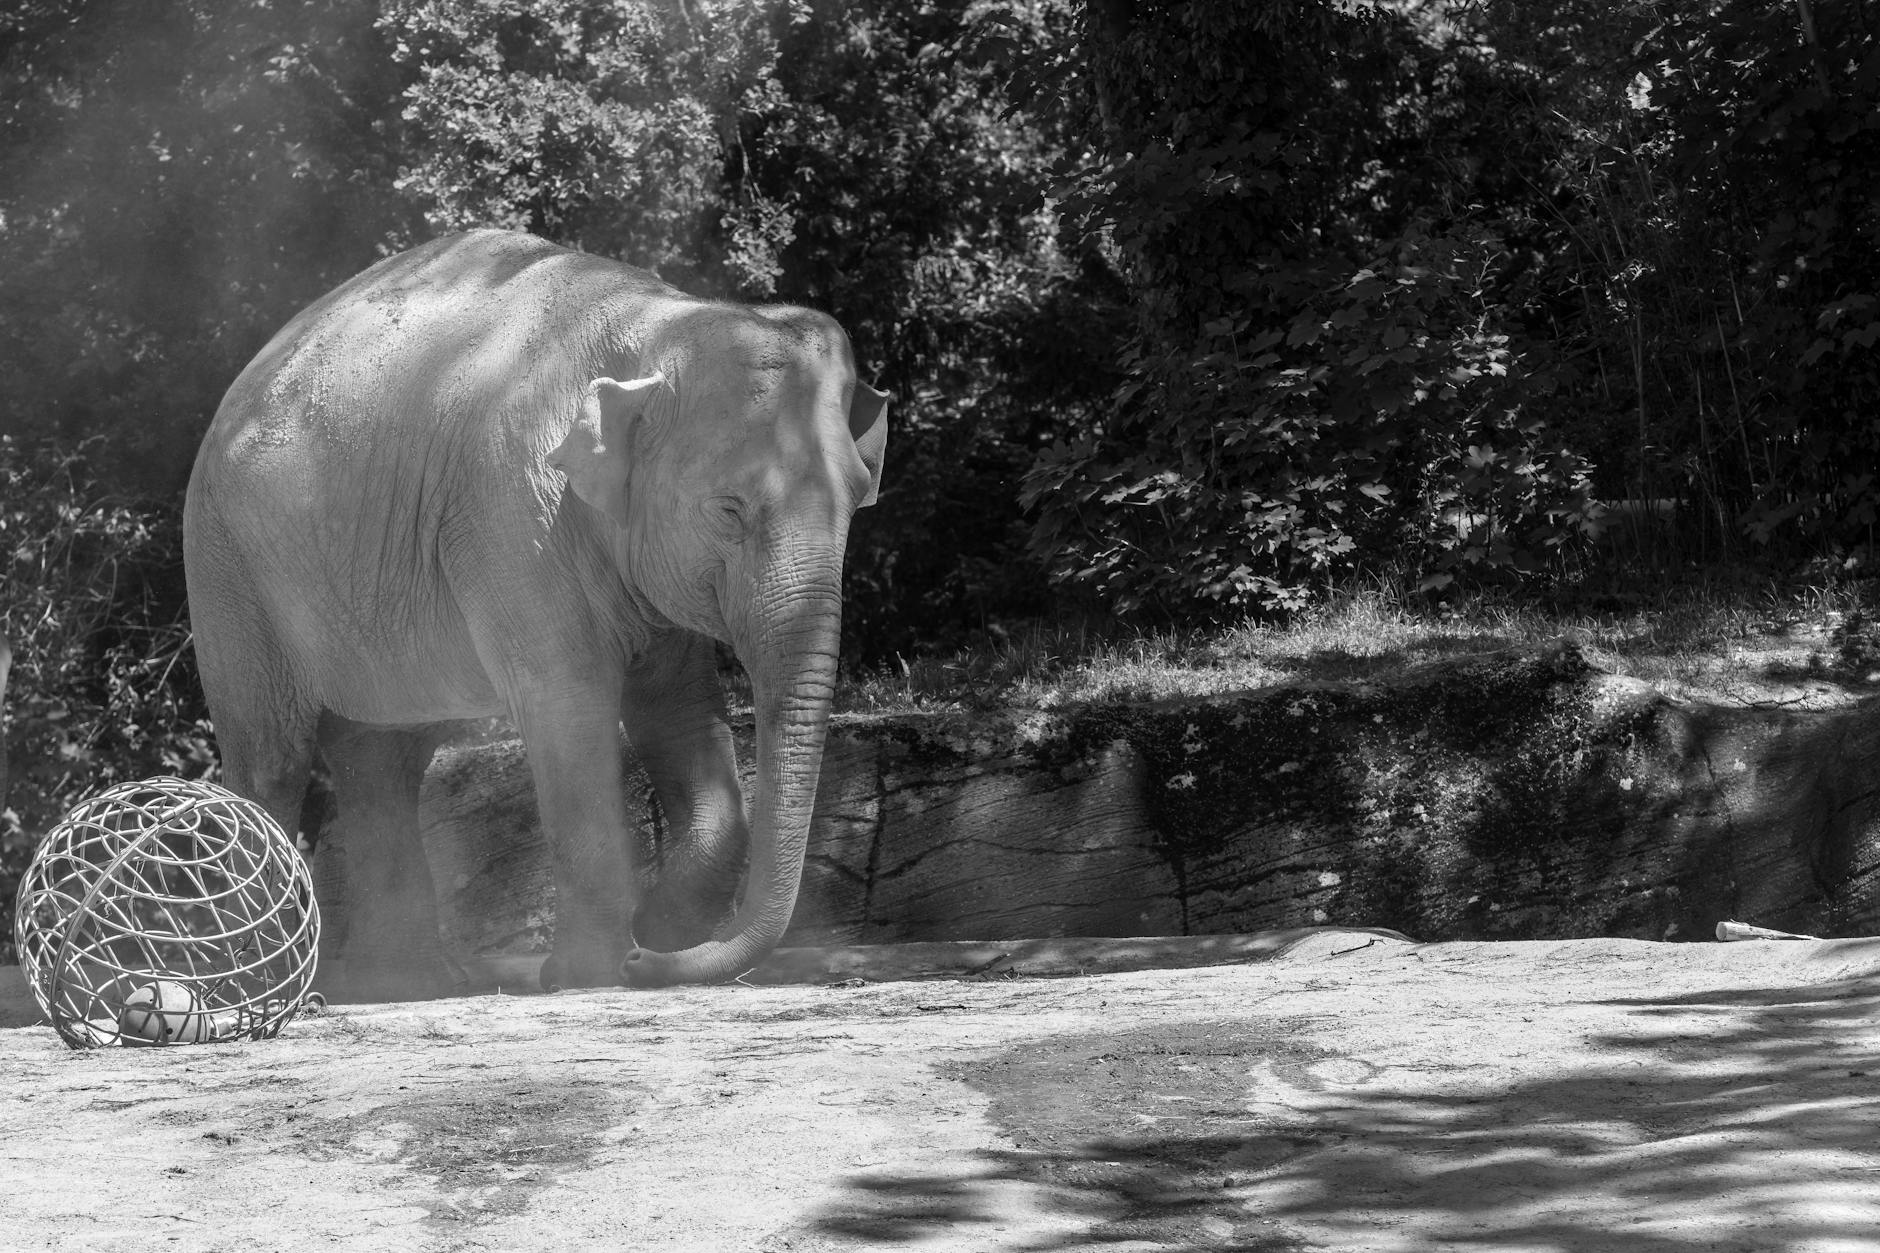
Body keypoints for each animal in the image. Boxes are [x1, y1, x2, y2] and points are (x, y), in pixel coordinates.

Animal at [183, 229, 887, 999]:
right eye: (729, 509)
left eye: (859, 498)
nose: (644, 962)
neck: (657, 324)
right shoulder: (514, 511)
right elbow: (568, 705)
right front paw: (595, 969)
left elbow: (677, 709)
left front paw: (653, 935)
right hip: (226, 568)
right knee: (272, 756)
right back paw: (268, 984)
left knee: (384, 758)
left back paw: (409, 981)